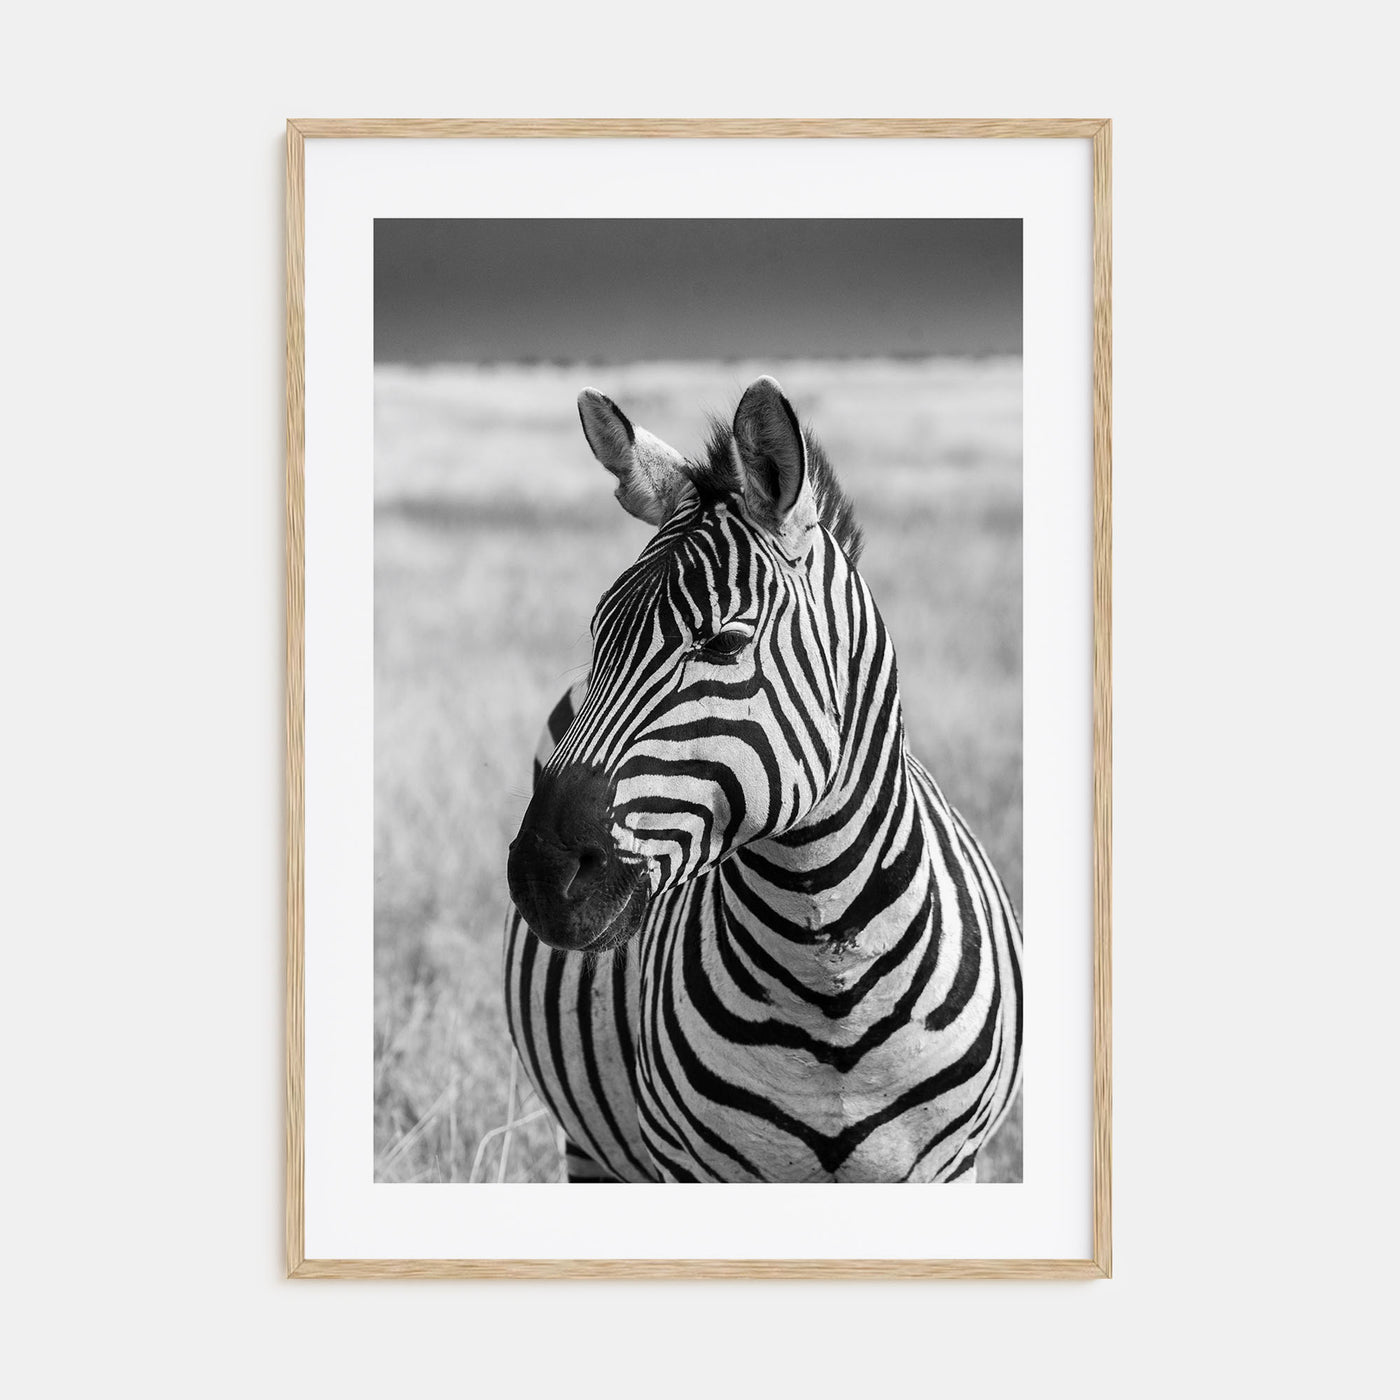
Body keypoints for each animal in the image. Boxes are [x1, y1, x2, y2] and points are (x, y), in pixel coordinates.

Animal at [502, 376, 1022, 1182]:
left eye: (723, 642)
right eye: (597, 637)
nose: (540, 875)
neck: (830, 981)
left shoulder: (951, 1165)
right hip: (591, 1148)